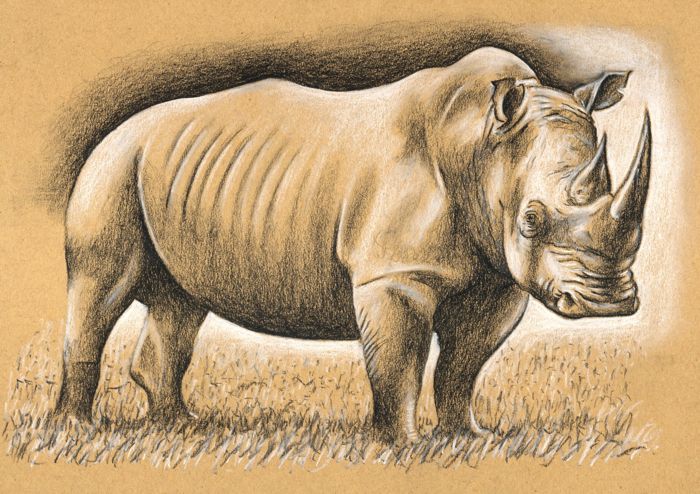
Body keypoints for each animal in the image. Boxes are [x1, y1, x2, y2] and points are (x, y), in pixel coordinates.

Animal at [55, 47, 651, 442]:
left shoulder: (500, 276)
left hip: (169, 171)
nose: (608, 303)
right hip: (112, 164)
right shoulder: (396, 274)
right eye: (530, 219)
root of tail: (117, 129)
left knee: (180, 304)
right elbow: (400, 361)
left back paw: (182, 426)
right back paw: (79, 429)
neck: (480, 149)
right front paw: (406, 446)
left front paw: (468, 438)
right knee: (101, 288)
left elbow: (464, 364)